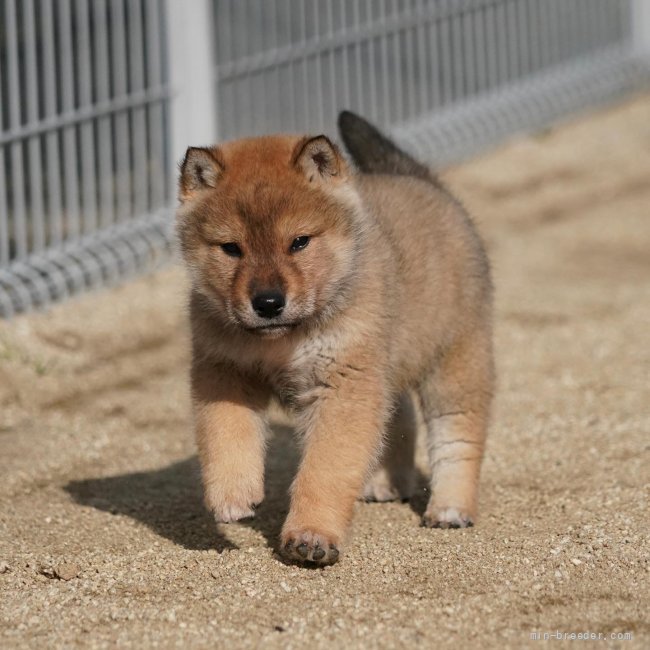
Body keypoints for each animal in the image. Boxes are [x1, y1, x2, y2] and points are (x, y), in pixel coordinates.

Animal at [177, 111, 492, 560]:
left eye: (299, 242)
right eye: (231, 248)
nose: (268, 303)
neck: (281, 342)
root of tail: (423, 181)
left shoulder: (342, 387)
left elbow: (323, 470)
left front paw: (311, 535)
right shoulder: (225, 371)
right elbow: (226, 436)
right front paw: (232, 495)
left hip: (455, 362)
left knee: (458, 437)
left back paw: (450, 508)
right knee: (398, 417)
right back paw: (385, 481)